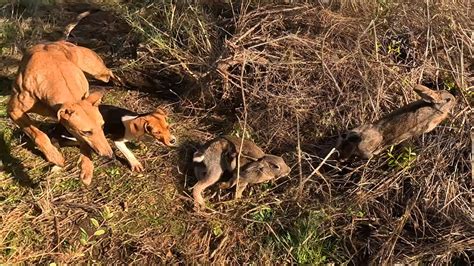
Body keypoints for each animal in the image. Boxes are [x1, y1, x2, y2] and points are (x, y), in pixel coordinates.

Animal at [7, 40, 115, 185]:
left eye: (103, 126)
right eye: (87, 132)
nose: (109, 155)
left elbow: (84, 144)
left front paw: (86, 168)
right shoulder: (14, 111)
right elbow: (38, 134)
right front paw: (55, 156)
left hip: (96, 71)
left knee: (109, 72)